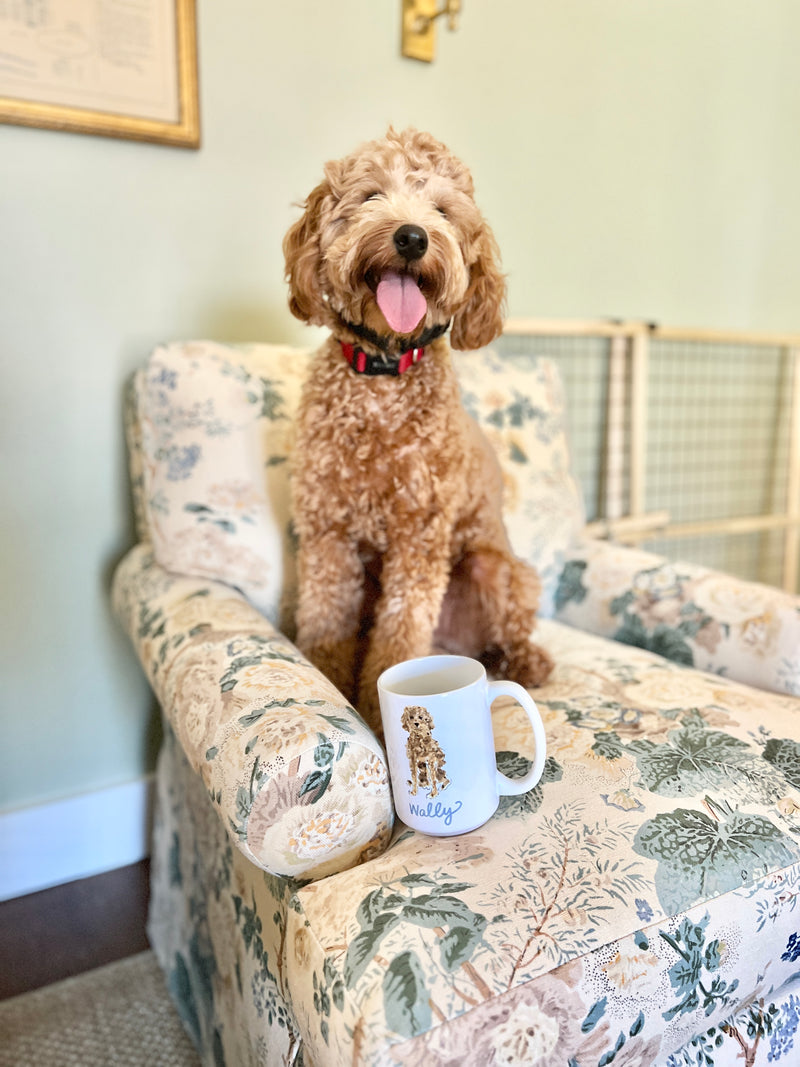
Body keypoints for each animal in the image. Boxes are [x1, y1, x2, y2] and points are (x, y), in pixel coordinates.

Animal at [285, 122, 554, 725]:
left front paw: (374, 705)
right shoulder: (328, 533)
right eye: (370, 196)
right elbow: (325, 624)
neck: (384, 374)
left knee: (510, 631)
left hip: (495, 567)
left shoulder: (420, 535)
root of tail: (458, 647)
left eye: (443, 211)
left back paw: (530, 663)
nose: (411, 238)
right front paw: (330, 686)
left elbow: (400, 637)